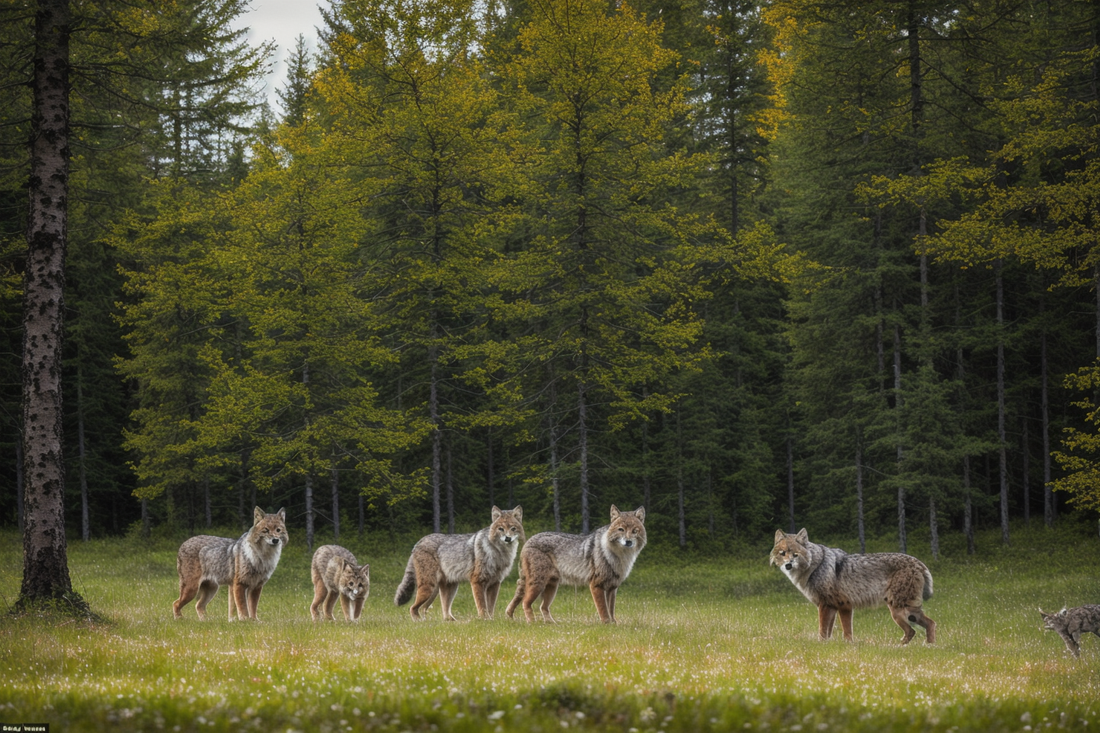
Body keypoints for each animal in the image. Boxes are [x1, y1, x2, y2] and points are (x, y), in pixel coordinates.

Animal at [393, 501, 521, 616]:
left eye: (513, 528)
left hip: (443, 589)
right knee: (413, 608)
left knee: (437, 613)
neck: (499, 553)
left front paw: (491, 621)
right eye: (501, 529)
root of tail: (419, 542)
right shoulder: (477, 581)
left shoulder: (495, 583)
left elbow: (490, 608)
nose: (508, 538)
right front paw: (485, 620)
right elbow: (482, 607)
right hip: (429, 588)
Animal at [503, 501, 646, 620]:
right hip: (538, 584)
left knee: (543, 607)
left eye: (635, 531)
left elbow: (611, 612)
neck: (620, 557)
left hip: (552, 587)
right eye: (621, 530)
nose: (628, 542)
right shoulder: (596, 585)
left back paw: (551, 625)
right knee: (526, 602)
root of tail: (529, 540)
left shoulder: (612, 588)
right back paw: (532, 623)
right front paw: (607, 626)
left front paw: (614, 625)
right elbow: (604, 612)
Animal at [765, 528, 937, 642]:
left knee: (914, 630)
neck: (816, 566)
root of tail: (919, 563)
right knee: (929, 624)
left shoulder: (831, 605)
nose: (788, 565)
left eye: (795, 554)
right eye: (783, 553)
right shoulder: (837, 606)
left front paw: (822, 644)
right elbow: (836, 631)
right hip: (906, 612)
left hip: (899, 611)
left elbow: (825, 630)